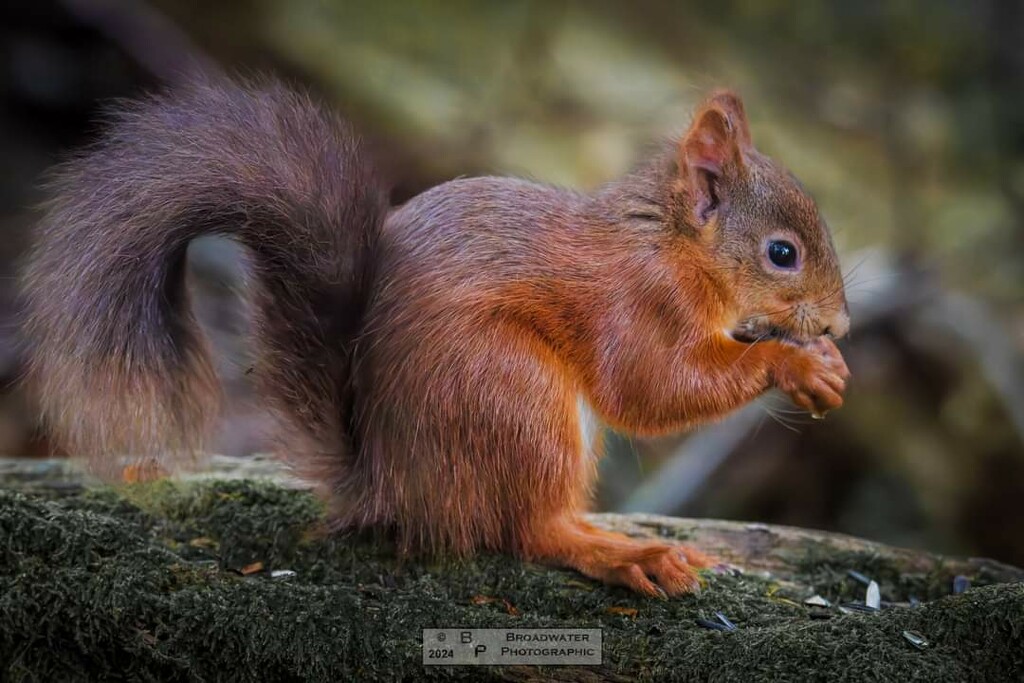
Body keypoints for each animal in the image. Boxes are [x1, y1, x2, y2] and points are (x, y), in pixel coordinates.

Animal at [22, 77, 847, 593]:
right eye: (782, 253)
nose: (840, 321)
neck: (673, 244)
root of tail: (391, 483)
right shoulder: (637, 302)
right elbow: (648, 389)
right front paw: (797, 364)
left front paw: (826, 360)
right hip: (513, 392)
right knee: (529, 531)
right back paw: (621, 552)